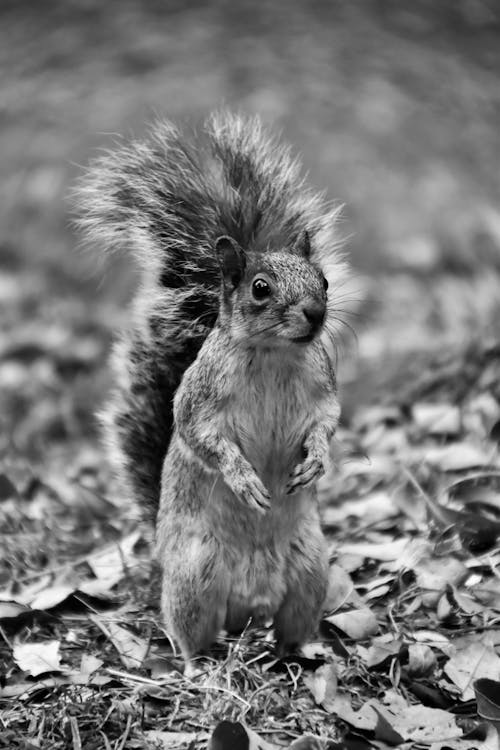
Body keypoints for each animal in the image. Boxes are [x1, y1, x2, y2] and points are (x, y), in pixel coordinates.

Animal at [78, 108, 350, 660]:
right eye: (260, 288)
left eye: (324, 281)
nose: (315, 313)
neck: (273, 357)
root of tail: (251, 605)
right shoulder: (200, 397)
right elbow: (200, 436)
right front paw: (243, 478)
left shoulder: (321, 386)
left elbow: (328, 419)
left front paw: (316, 459)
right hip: (194, 576)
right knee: (192, 632)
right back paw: (197, 663)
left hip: (311, 570)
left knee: (291, 627)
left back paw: (301, 651)